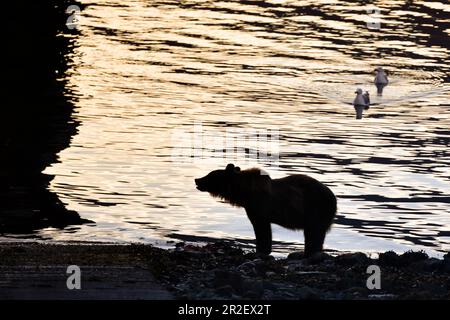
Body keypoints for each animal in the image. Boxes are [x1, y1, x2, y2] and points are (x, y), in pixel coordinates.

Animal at [195, 164, 336, 256]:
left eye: (210, 175)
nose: (197, 179)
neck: (244, 193)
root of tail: (333, 197)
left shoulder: (259, 208)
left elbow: (262, 229)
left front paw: (260, 250)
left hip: (315, 209)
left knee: (315, 233)